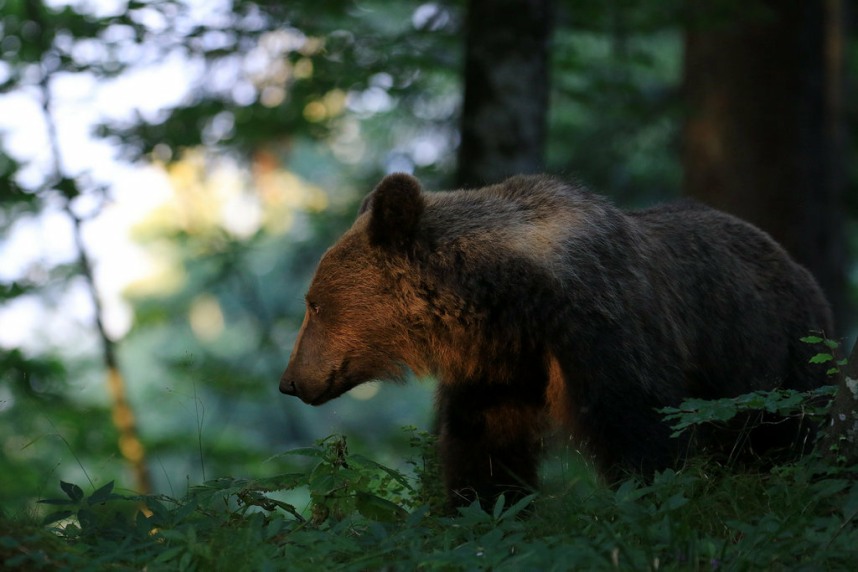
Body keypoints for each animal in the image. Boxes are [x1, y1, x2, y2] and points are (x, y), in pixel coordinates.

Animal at [278, 172, 832, 508]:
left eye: (314, 303)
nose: (289, 381)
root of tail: (798, 266)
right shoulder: (501, 369)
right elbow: (484, 448)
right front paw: (480, 506)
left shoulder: (604, 334)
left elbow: (643, 435)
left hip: (775, 359)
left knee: (785, 442)